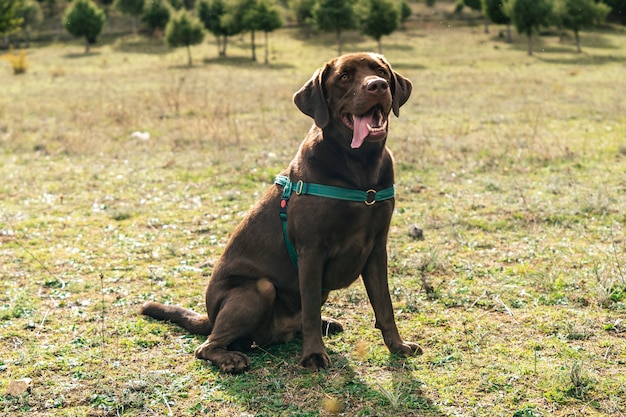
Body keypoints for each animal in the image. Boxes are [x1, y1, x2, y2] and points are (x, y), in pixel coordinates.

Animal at [143, 50, 420, 372]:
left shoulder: (376, 248)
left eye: (381, 71)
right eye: (344, 77)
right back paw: (231, 358)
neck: (359, 168)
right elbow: (310, 308)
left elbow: (385, 306)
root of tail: (210, 316)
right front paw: (313, 355)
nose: (377, 85)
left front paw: (398, 346)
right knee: (207, 346)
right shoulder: (311, 251)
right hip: (258, 289)